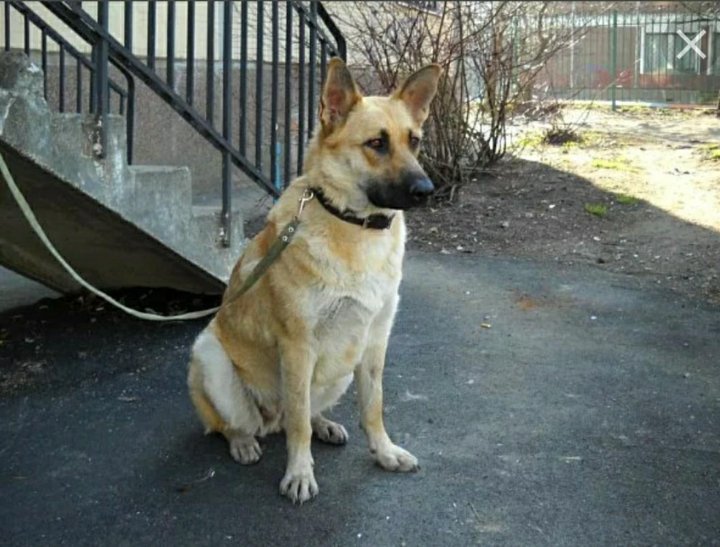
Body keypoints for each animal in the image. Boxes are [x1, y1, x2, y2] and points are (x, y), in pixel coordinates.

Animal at [187, 58, 440, 504]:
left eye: (414, 141)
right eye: (376, 143)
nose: (427, 190)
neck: (354, 224)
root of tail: (267, 421)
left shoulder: (375, 341)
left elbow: (372, 407)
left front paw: (384, 451)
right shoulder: (297, 346)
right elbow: (298, 423)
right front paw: (300, 473)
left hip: (340, 371)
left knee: (302, 412)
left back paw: (324, 424)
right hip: (209, 355)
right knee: (238, 422)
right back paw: (243, 441)